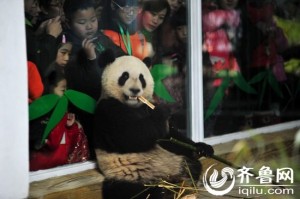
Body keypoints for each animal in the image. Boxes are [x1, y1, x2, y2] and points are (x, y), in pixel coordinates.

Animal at [93, 51, 213, 199]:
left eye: (141, 78)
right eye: (124, 76)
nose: (135, 90)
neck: (133, 106)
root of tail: (163, 178)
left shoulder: (146, 109)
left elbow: (169, 137)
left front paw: (201, 148)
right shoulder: (108, 110)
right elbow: (130, 136)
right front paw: (161, 112)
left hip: (176, 161)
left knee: (192, 166)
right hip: (125, 176)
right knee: (126, 190)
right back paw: (160, 191)